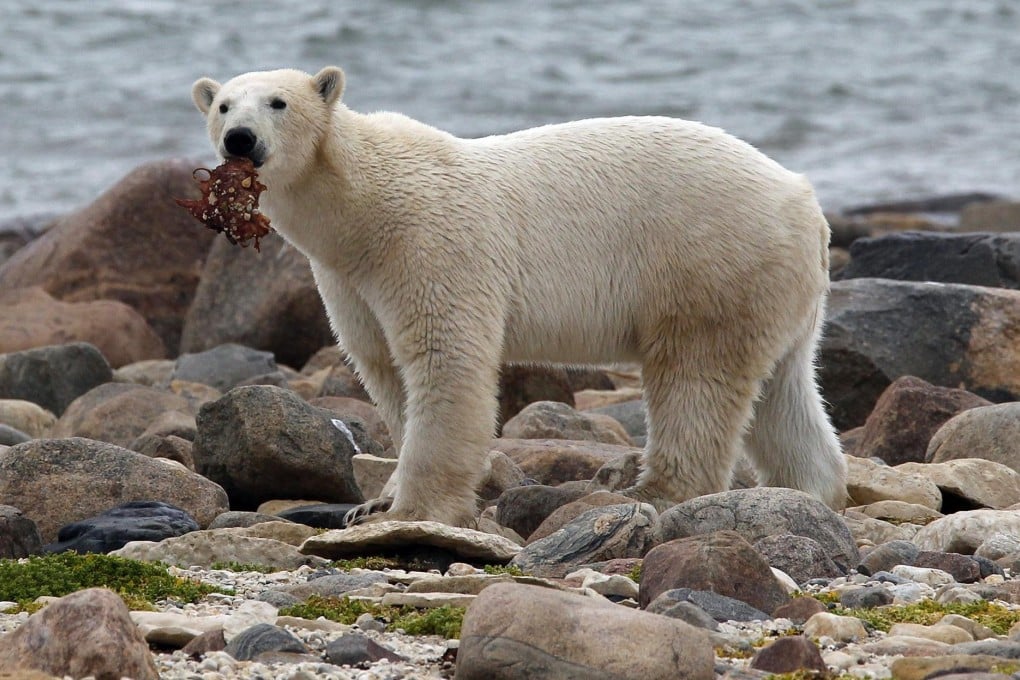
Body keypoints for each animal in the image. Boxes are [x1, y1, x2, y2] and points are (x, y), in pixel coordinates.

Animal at [190, 66, 847, 527]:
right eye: (223, 105)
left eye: (278, 102)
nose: (240, 139)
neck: (361, 206)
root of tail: (806, 202)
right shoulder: (348, 278)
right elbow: (384, 369)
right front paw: (373, 503)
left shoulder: (429, 244)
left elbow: (445, 360)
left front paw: (414, 509)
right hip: (774, 288)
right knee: (784, 392)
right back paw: (813, 489)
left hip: (708, 260)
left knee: (695, 377)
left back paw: (656, 491)